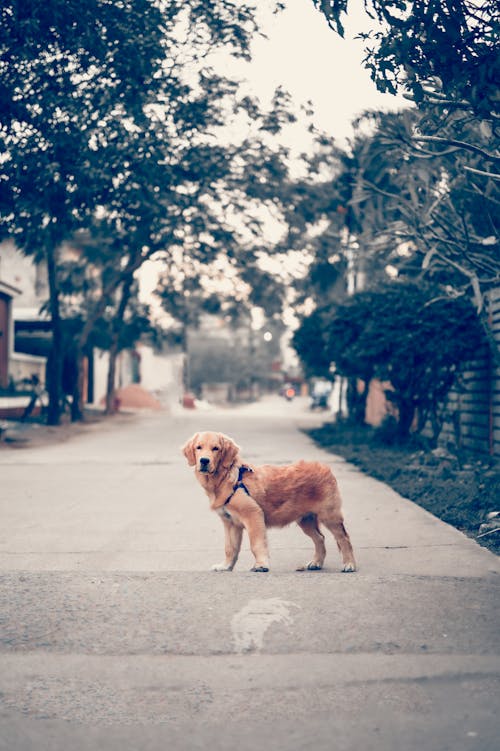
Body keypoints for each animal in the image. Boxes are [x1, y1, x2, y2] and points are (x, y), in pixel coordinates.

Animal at [181, 432, 356, 572]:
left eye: (216, 448)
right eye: (198, 447)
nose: (204, 461)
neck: (226, 479)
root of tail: (326, 468)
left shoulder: (253, 515)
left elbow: (256, 544)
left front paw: (261, 565)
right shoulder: (230, 523)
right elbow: (230, 548)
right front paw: (225, 566)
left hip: (329, 515)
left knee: (344, 539)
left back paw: (349, 565)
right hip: (306, 520)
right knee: (320, 538)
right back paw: (316, 563)